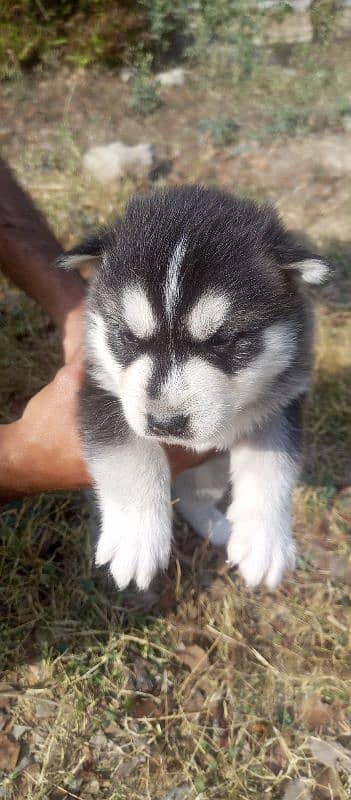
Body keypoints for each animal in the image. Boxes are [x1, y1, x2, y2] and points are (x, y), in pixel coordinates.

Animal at [57, 186, 330, 588]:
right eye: (128, 336)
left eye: (223, 340)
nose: (164, 424)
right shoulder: (100, 389)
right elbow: (129, 453)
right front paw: (136, 536)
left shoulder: (282, 400)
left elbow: (273, 462)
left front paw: (265, 540)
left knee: (192, 495)